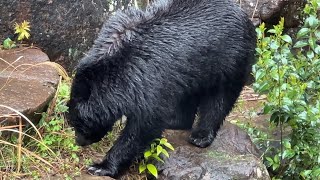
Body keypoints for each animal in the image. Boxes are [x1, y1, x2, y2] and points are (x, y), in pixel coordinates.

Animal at [67, 0, 255, 177]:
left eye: (81, 125)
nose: (78, 141)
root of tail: (244, 14)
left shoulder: (148, 77)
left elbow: (144, 124)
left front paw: (101, 167)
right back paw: (176, 122)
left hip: (230, 59)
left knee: (219, 99)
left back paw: (200, 136)